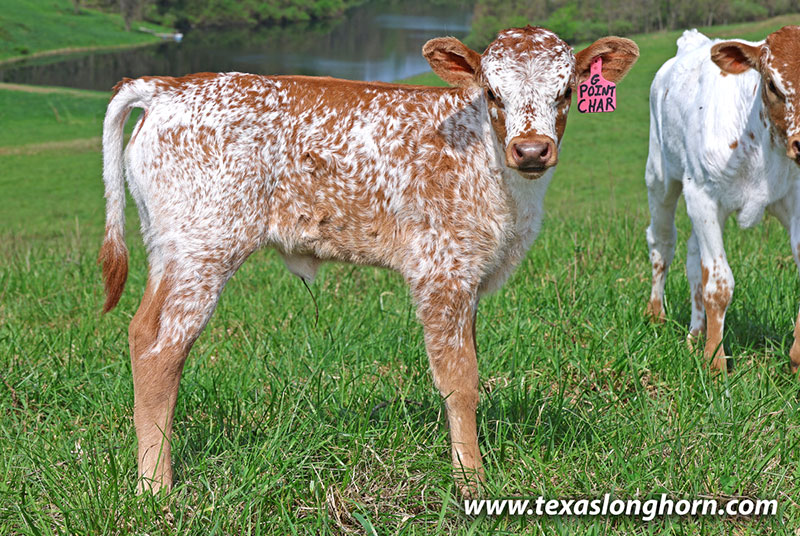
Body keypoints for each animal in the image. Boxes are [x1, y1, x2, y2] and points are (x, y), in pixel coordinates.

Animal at [99, 26, 639, 495]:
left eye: (566, 91)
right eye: (492, 92)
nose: (530, 150)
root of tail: (167, 87)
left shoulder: (469, 276)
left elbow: (472, 366)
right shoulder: (442, 270)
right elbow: (460, 381)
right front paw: (472, 482)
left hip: (169, 249)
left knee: (140, 331)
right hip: (205, 248)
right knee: (163, 350)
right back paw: (156, 489)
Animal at [645, 27, 800, 372]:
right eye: (773, 85)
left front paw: (798, 357)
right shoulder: (702, 197)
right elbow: (718, 285)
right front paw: (715, 363)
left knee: (693, 260)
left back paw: (695, 333)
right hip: (660, 177)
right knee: (662, 243)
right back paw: (656, 315)